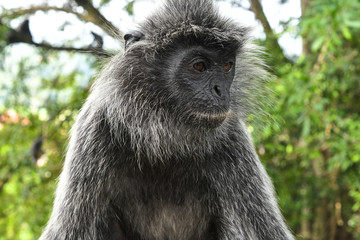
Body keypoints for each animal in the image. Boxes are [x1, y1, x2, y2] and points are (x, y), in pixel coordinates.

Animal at [40, 0, 294, 239]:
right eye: (199, 66)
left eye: (226, 66)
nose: (221, 91)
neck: (165, 139)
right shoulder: (95, 129)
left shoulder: (234, 138)